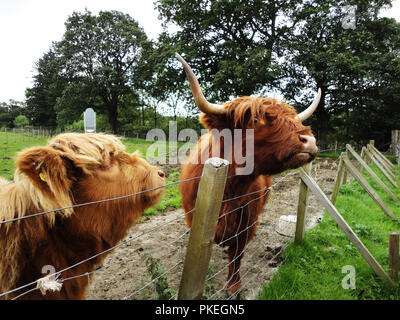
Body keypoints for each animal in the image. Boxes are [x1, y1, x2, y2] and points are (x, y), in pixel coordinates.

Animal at [177, 52, 320, 296]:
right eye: (254, 120)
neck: (228, 190)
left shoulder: (246, 224)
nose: (309, 140)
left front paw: (234, 286)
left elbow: (236, 256)